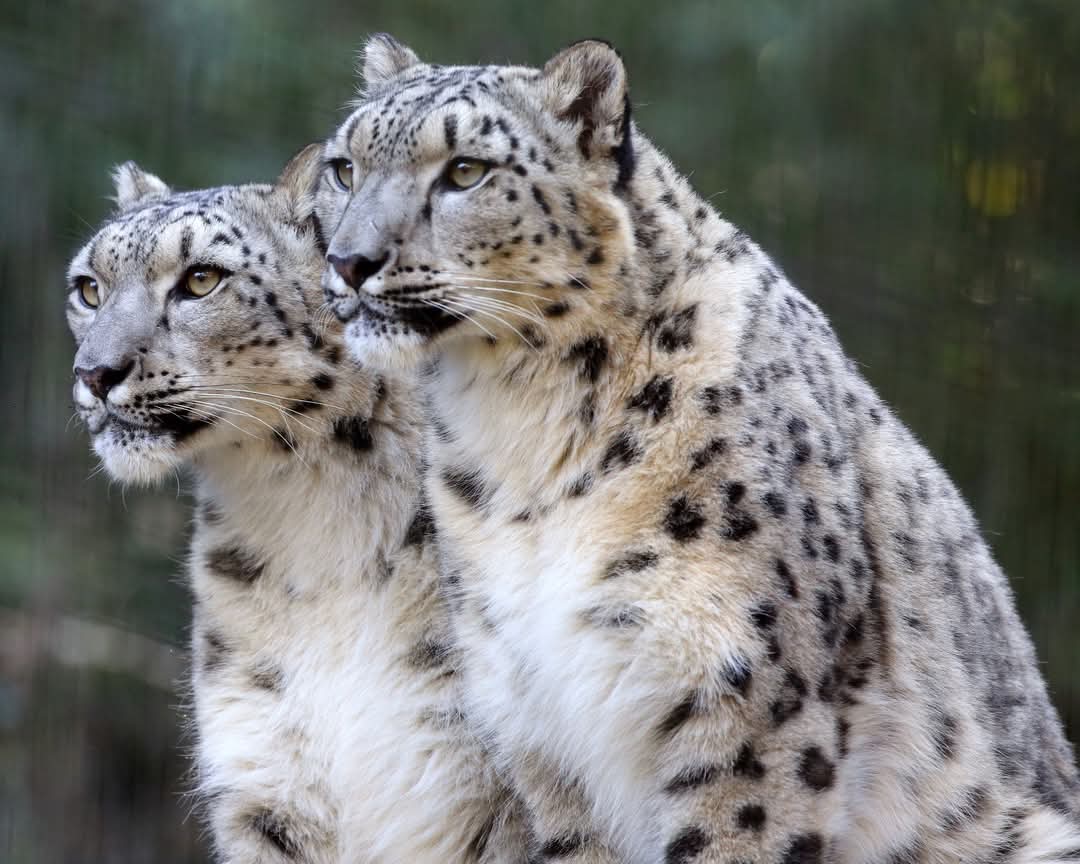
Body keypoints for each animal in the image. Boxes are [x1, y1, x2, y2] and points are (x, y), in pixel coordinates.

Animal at [312, 34, 1080, 864]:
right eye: (344, 167)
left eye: (464, 170)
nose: (349, 260)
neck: (519, 433)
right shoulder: (537, 730)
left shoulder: (747, 708)